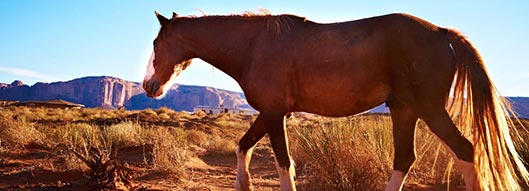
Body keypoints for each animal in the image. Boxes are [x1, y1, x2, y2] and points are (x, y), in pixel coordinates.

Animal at [142, 11, 524, 190]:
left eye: (156, 44)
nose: (149, 86)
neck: (254, 47)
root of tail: (444, 34)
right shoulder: (271, 112)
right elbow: (242, 146)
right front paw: (243, 184)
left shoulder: (274, 113)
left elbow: (283, 164)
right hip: (405, 111)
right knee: (404, 159)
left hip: (429, 110)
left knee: (465, 150)